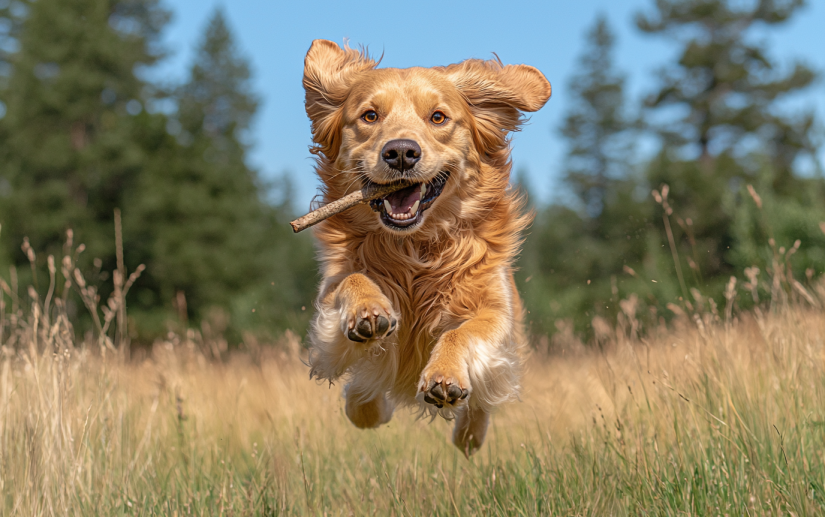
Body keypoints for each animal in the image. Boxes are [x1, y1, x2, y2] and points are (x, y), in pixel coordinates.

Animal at [300, 42, 548, 458]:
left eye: (438, 117)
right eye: (370, 116)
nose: (401, 152)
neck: (415, 248)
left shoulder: (496, 308)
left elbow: (462, 333)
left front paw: (444, 375)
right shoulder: (330, 298)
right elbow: (353, 281)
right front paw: (369, 311)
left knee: (480, 407)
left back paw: (468, 436)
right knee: (363, 399)